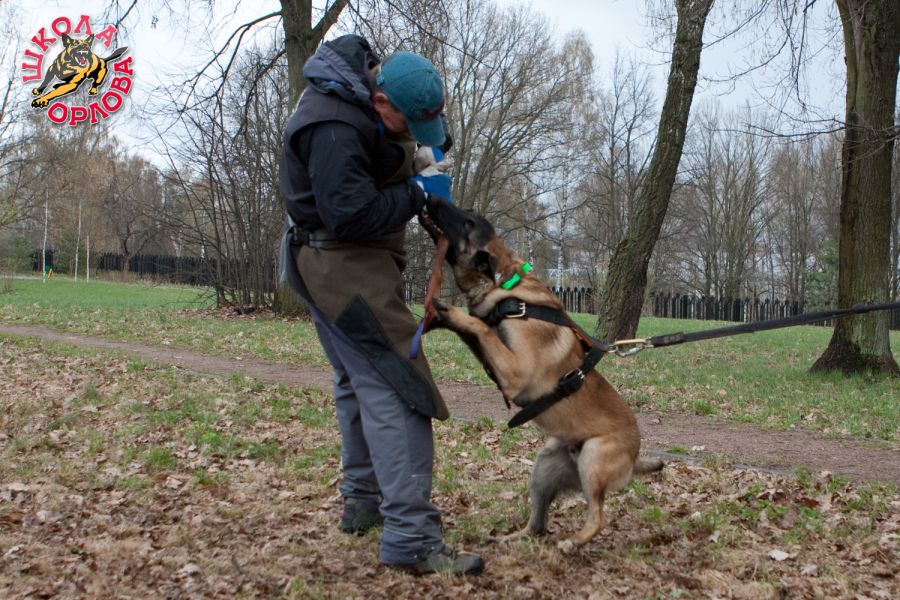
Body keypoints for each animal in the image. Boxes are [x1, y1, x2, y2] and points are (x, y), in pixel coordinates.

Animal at [419, 197, 662, 551]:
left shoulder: (515, 371)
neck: (508, 288)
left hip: (593, 459)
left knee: (598, 517)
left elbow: (480, 326)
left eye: (466, 223)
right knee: (537, 524)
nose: (432, 199)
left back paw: (574, 542)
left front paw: (451, 311)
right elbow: (477, 328)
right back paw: (510, 538)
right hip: (544, 467)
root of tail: (635, 456)